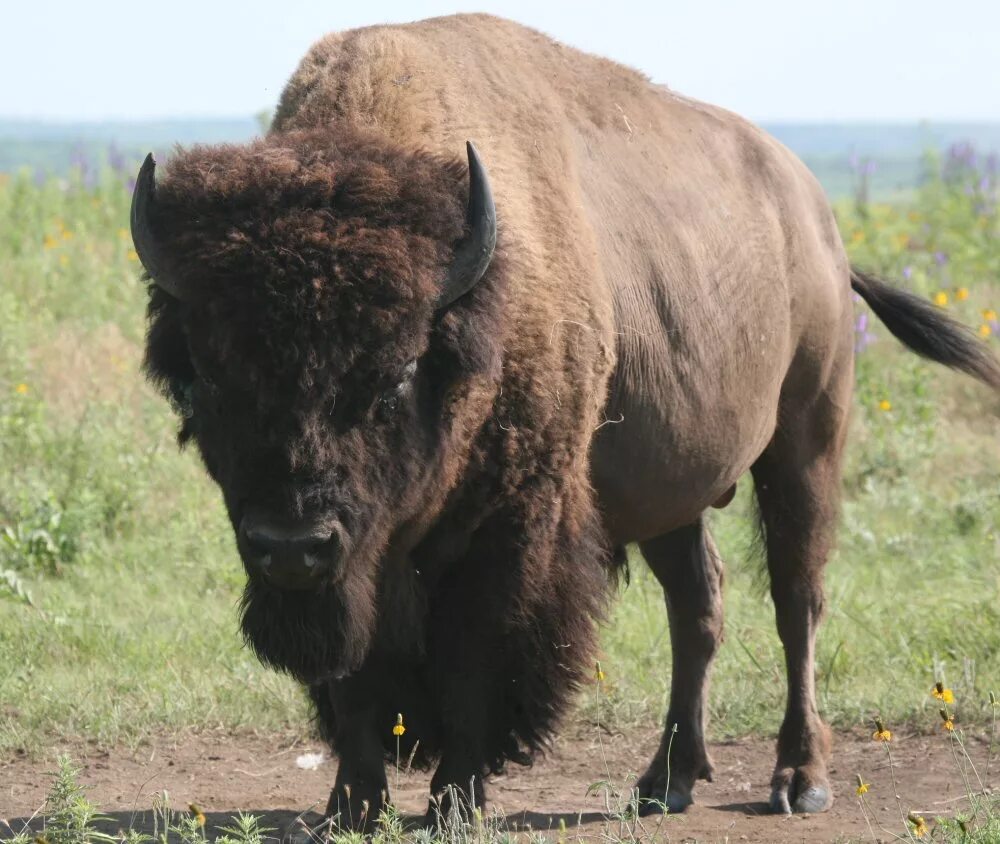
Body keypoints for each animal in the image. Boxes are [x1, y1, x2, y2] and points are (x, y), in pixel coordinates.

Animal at [133, 11, 1000, 832]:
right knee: (699, 605)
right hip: (672, 492)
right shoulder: (356, 562)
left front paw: (455, 803)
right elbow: (353, 678)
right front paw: (351, 806)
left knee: (797, 599)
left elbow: (476, 658)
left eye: (399, 370)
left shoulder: (506, 527)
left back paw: (800, 781)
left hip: (806, 440)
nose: (292, 544)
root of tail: (816, 220)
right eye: (210, 375)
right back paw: (665, 782)